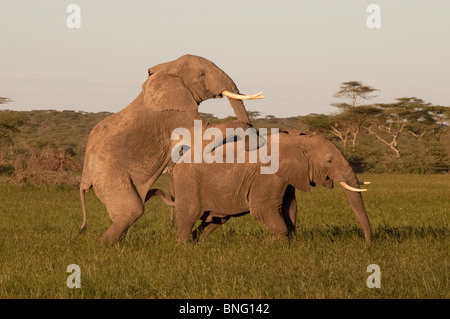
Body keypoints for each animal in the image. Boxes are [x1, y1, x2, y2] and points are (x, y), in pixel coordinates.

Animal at [79, 53, 266, 244]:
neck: (170, 67)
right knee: (132, 210)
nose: (253, 144)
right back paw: (104, 244)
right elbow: (205, 134)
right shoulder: (174, 114)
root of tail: (84, 180)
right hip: (109, 176)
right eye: (202, 75)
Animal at [163, 131, 370, 246]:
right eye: (329, 161)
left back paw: (197, 243)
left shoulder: (289, 176)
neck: (299, 141)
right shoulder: (269, 175)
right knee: (189, 216)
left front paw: (289, 243)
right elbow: (263, 208)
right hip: (188, 183)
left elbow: (289, 208)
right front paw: (268, 244)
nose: (368, 245)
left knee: (216, 220)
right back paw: (185, 246)